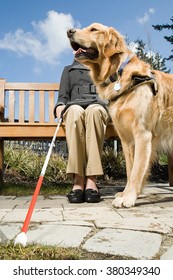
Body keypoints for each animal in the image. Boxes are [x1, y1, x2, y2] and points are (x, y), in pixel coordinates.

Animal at [67, 23, 173, 208]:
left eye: (93, 29)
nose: (69, 31)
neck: (119, 75)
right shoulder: (126, 139)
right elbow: (130, 171)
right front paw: (125, 193)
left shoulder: (142, 135)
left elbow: (137, 170)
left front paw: (129, 198)